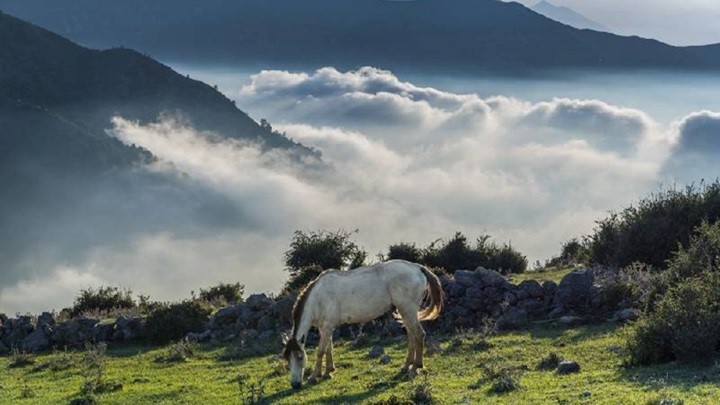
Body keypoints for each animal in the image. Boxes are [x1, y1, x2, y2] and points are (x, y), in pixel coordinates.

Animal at [282, 258, 444, 388]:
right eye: (287, 359)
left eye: (300, 357)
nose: (295, 384)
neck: (318, 298)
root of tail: (417, 267)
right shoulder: (325, 328)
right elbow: (329, 349)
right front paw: (328, 371)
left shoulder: (327, 327)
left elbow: (320, 351)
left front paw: (314, 376)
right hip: (405, 311)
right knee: (412, 336)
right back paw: (405, 366)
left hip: (408, 310)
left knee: (419, 334)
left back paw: (416, 367)